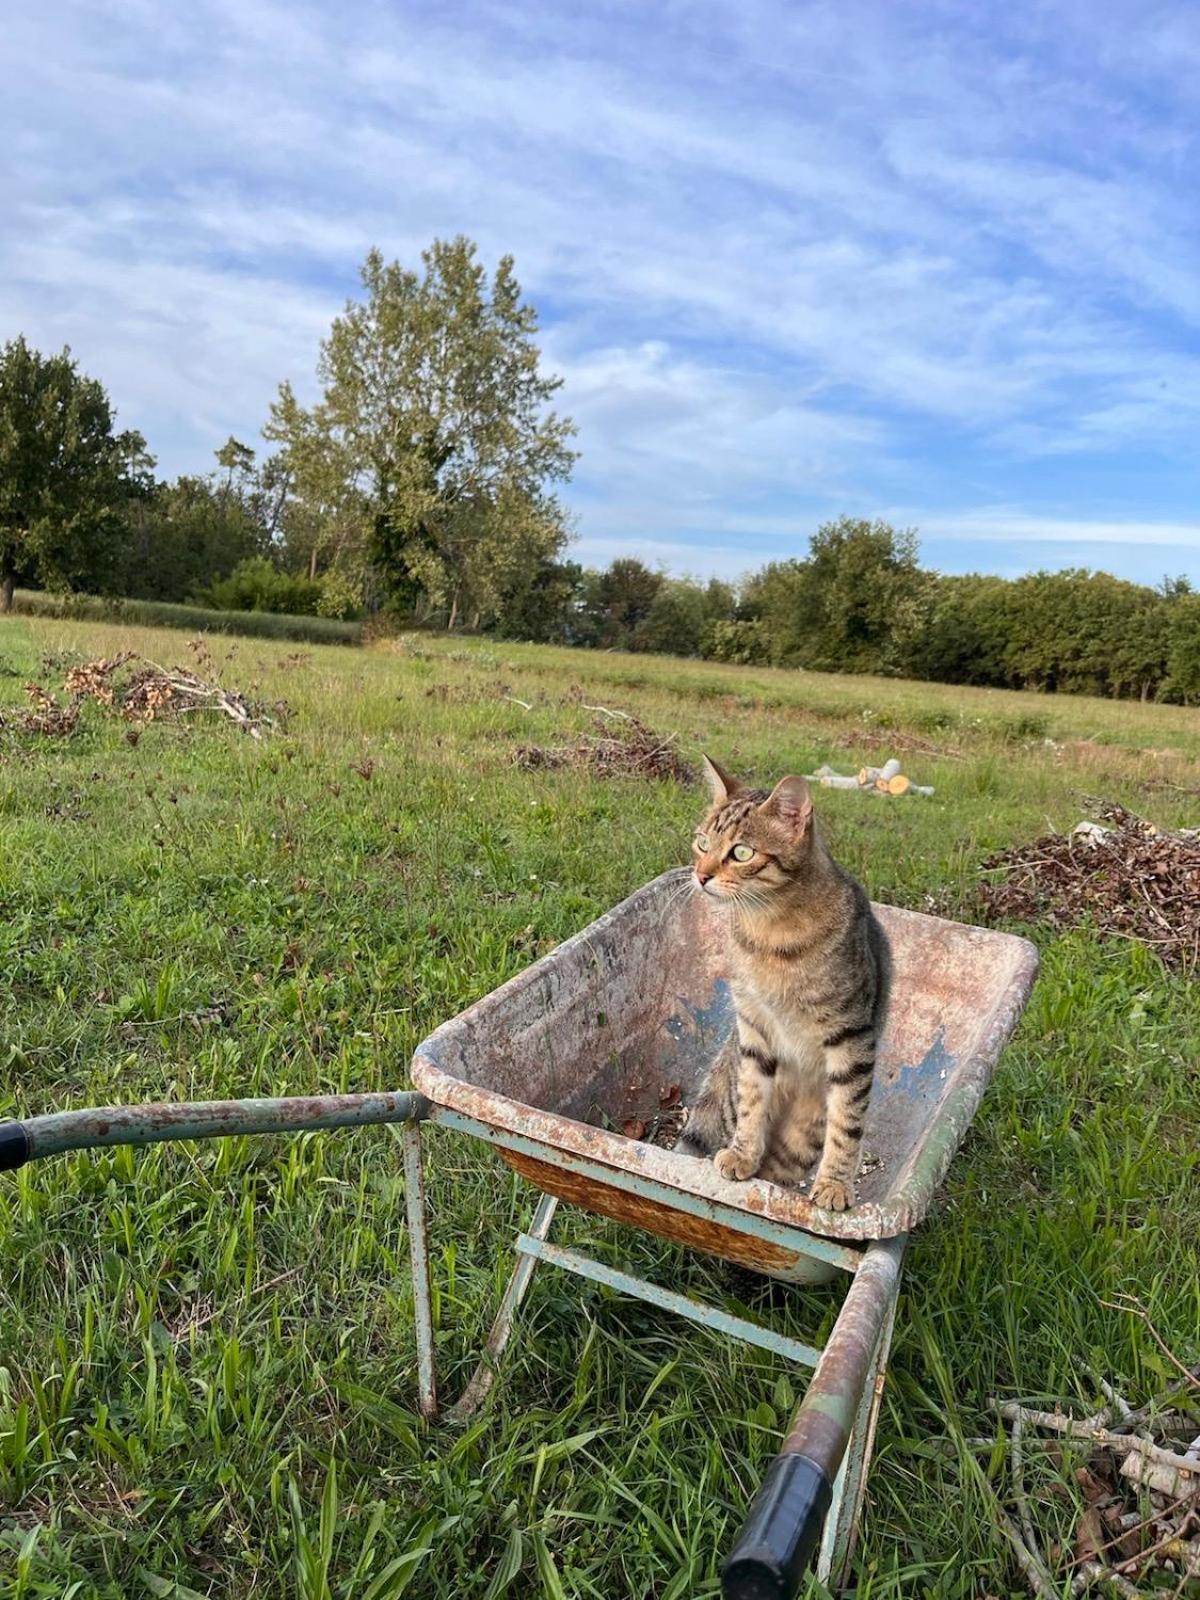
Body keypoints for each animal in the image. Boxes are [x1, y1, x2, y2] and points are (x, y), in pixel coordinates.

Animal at [678, 755, 896, 1203]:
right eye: (703, 844)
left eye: (741, 852)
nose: (701, 875)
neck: (769, 933)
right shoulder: (755, 1028)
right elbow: (752, 1102)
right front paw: (741, 1154)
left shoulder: (852, 1038)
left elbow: (848, 1123)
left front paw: (834, 1185)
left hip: (805, 1132)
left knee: (783, 1165)